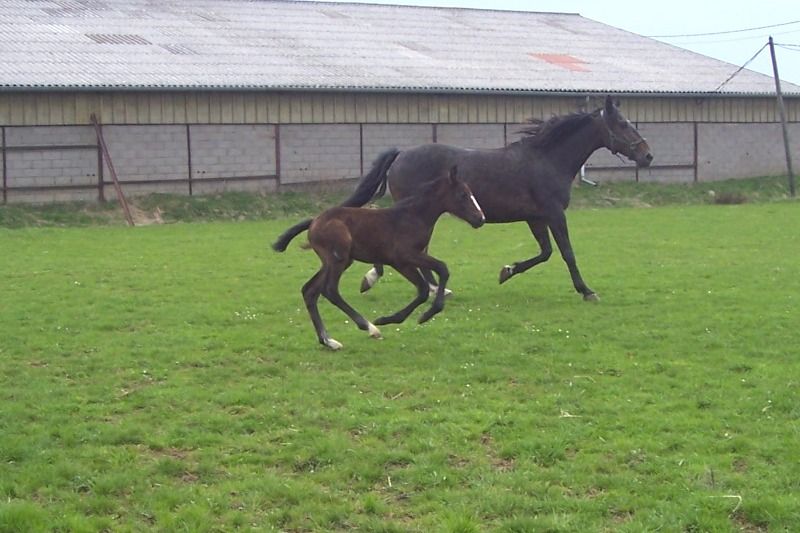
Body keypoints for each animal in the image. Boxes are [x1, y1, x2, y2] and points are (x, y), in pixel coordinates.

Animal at [344, 94, 648, 300]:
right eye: (623, 124)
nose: (647, 155)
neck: (547, 160)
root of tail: (401, 154)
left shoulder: (536, 218)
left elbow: (545, 253)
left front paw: (507, 271)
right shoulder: (554, 214)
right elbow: (567, 253)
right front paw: (587, 291)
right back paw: (409, 284)